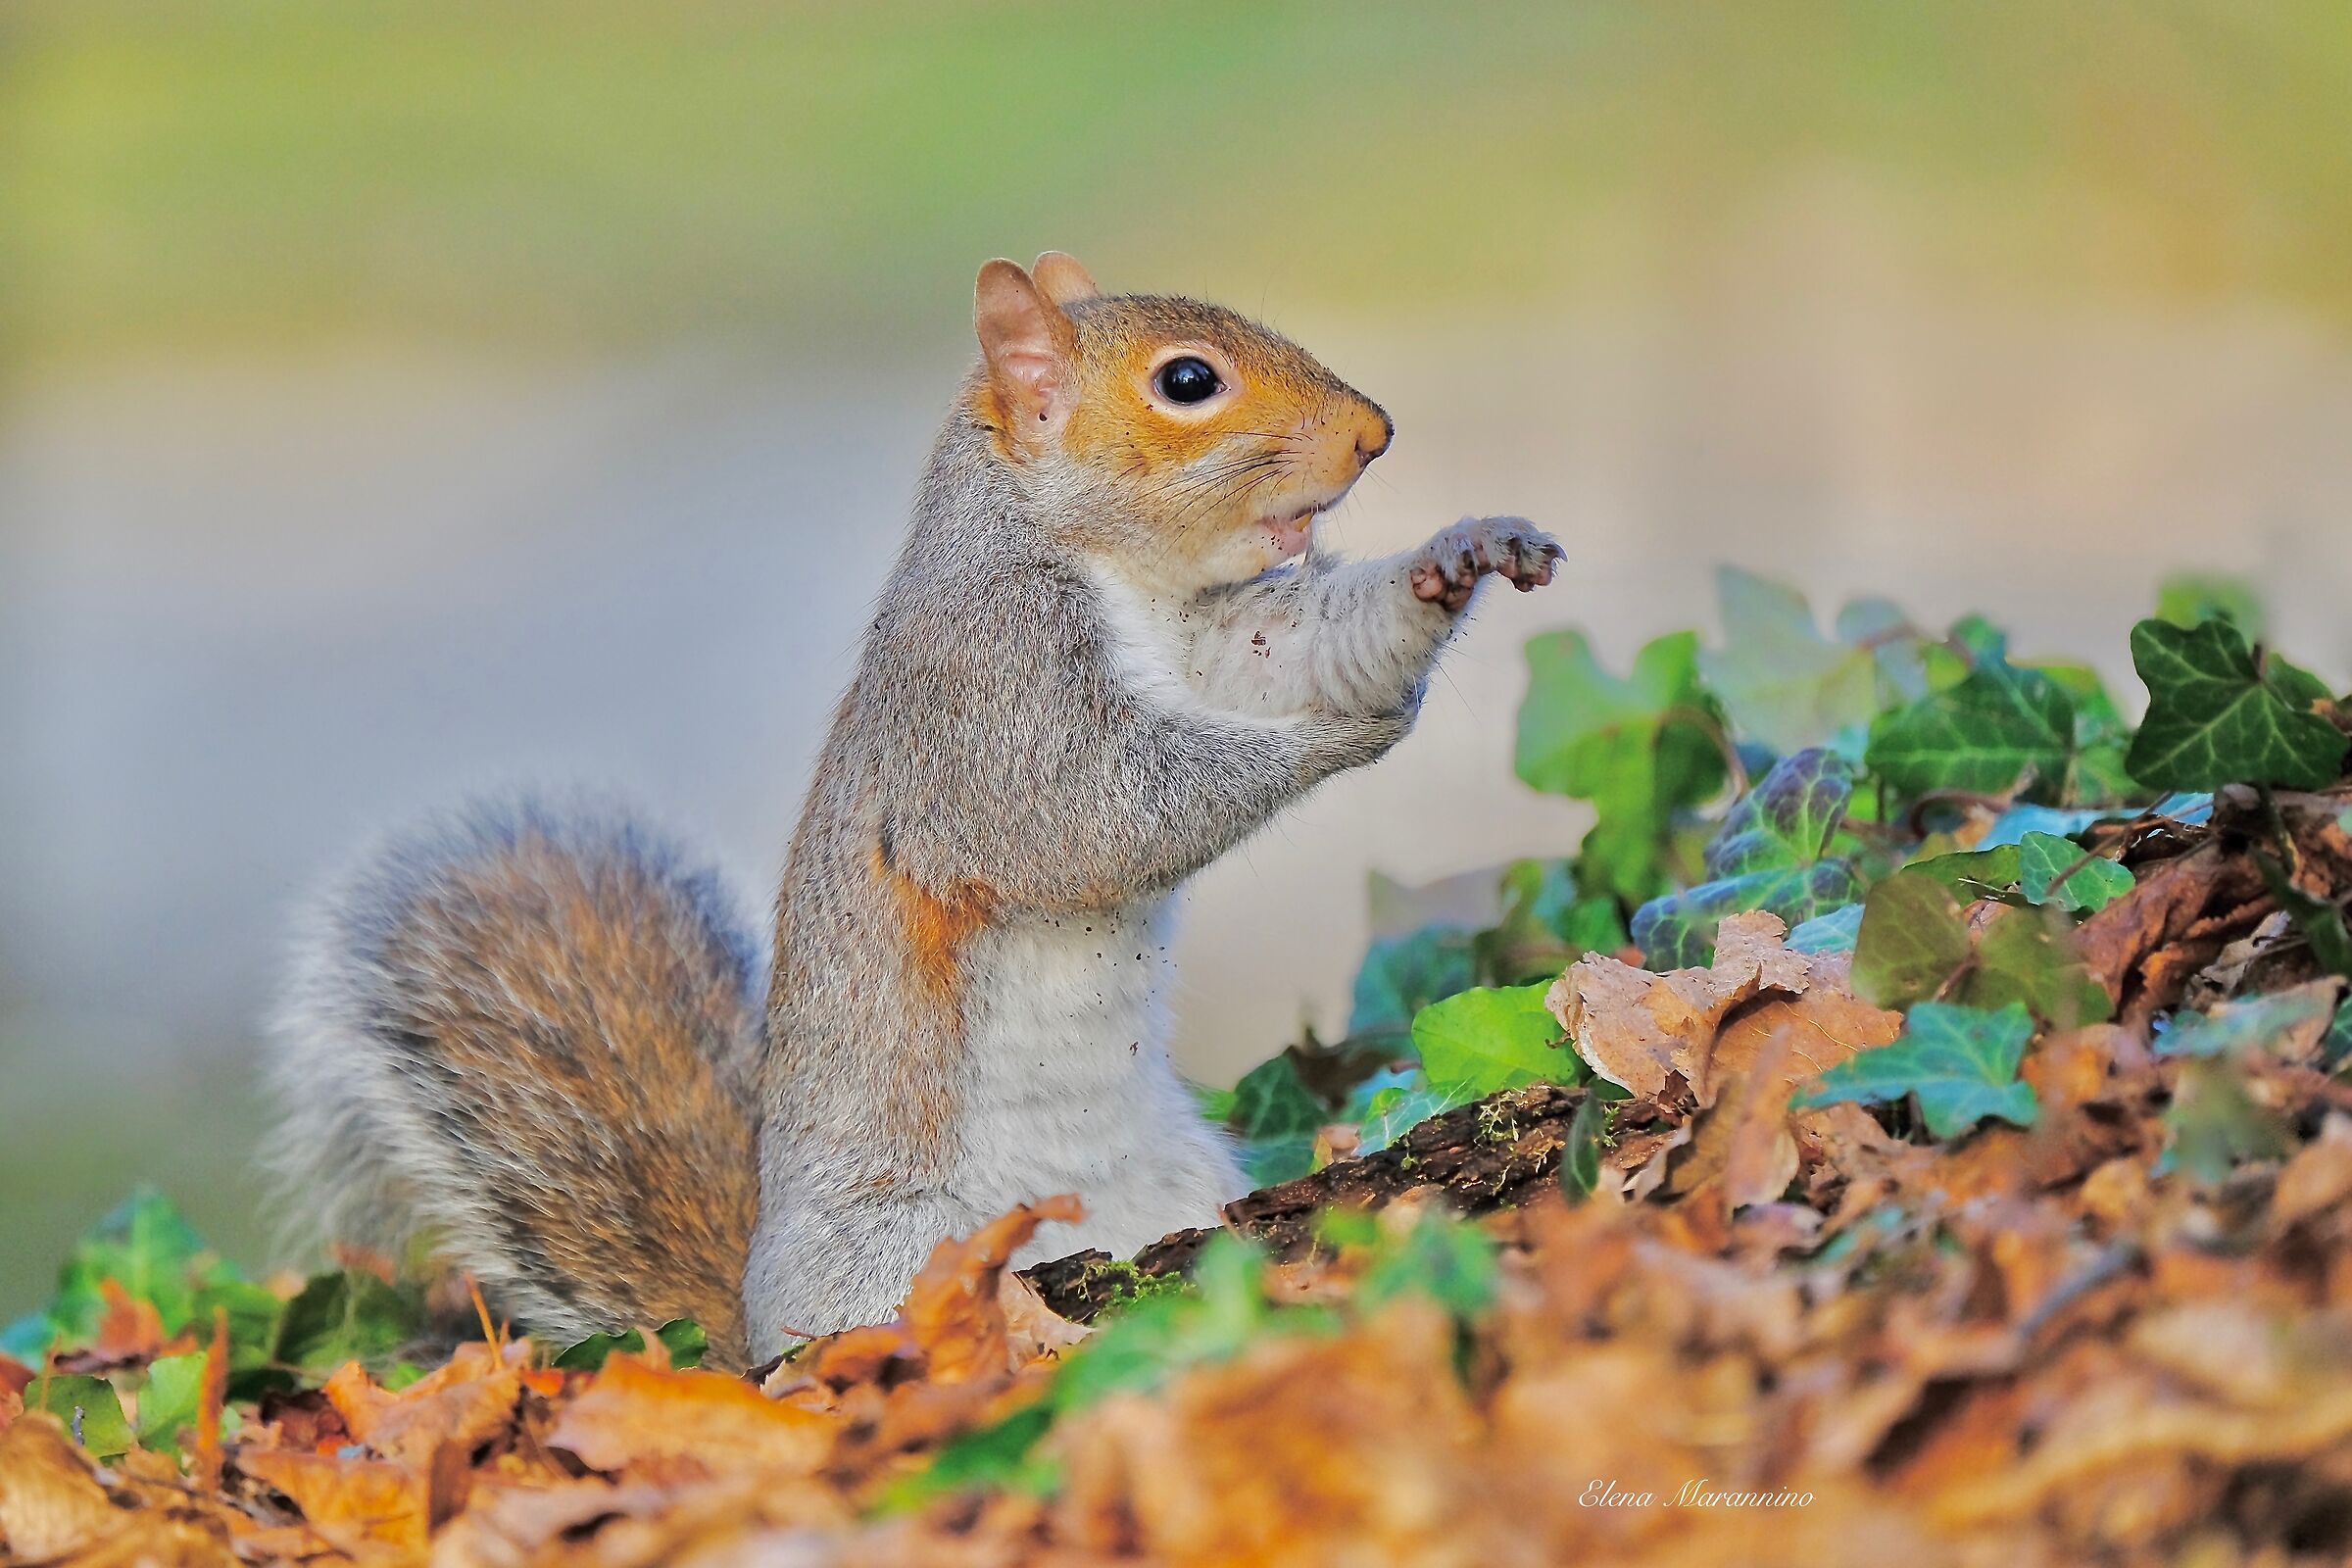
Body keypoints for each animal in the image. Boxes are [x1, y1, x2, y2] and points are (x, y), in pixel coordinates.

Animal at [264, 253, 1562, 1368]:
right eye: (1188, 382)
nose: (1376, 432)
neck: (1106, 569)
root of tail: (746, 1328)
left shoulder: (1224, 636)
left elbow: (1304, 643)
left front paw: (1457, 554)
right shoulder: (987, 695)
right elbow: (1093, 821)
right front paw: (1323, 741)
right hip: (899, 1256)